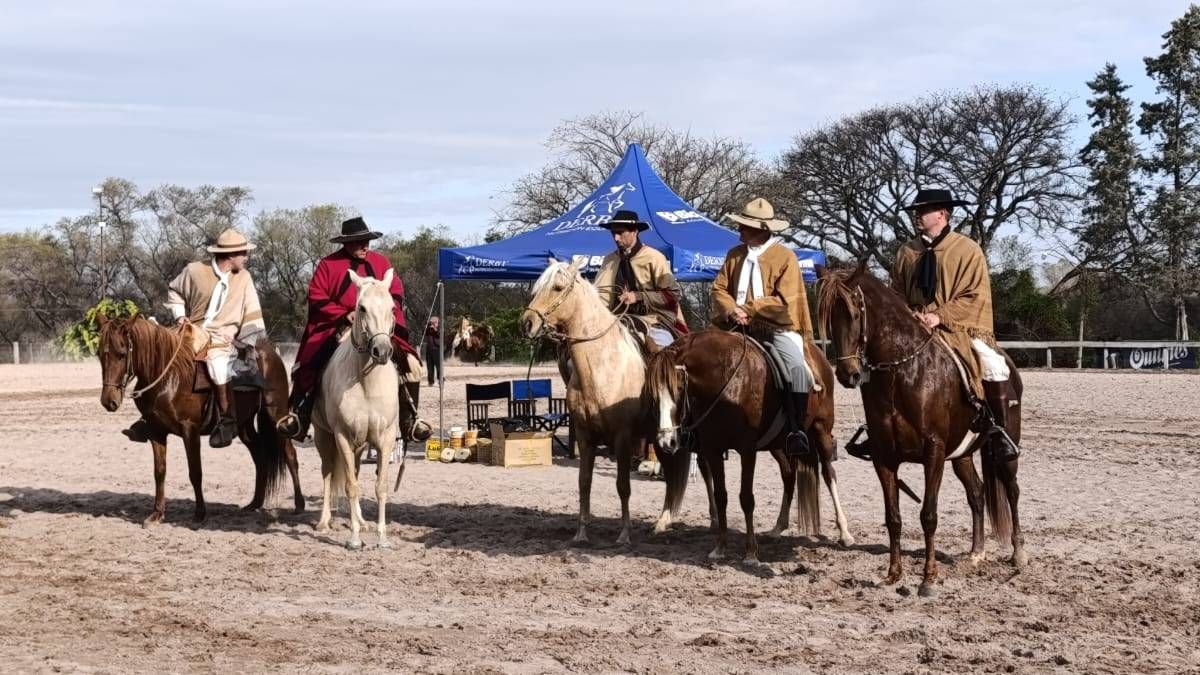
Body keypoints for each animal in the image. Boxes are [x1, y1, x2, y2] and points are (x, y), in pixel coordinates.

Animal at [96, 314, 304, 525]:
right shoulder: (156, 431)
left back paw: (299, 505)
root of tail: (270, 354)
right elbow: (159, 472)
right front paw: (157, 513)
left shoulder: (190, 430)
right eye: (99, 354)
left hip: (276, 415)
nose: (109, 401)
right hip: (244, 425)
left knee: (290, 454)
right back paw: (255, 503)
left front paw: (199, 513)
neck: (168, 378)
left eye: (122, 354)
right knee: (259, 457)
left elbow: (195, 472)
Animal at [312, 269, 403, 550]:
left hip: (360, 444)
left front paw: (382, 538)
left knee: (354, 470)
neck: (365, 381)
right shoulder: (341, 435)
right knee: (328, 473)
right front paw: (353, 538)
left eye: (392, 307)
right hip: (323, 436)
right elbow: (351, 486)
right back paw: (324, 521)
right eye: (361, 308)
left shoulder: (384, 438)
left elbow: (380, 486)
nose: (382, 351)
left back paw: (362, 521)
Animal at [520, 257, 647, 546]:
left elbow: (623, 485)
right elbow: (584, 482)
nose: (527, 323)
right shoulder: (584, 435)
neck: (601, 366)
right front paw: (581, 532)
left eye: (557, 287)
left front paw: (625, 533)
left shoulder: (623, 438)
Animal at [646, 328, 853, 563]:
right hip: (778, 445)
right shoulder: (713, 450)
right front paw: (720, 548)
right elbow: (721, 496)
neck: (725, 379)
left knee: (828, 473)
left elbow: (746, 498)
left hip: (821, 431)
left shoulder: (747, 450)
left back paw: (844, 532)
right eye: (653, 392)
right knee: (789, 475)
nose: (667, 441)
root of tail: (819, 356)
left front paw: (751, 552)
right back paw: (778, 527)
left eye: (679, 388)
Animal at [816, 263, 1026, 597]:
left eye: (854, 311)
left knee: (1012, 489)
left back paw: (1018, 553)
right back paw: (976, 552)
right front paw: (893, 574)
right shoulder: (884, 457)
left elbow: (928, 515)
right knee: (977, 493)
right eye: (827, 317)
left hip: (1004, 450)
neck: (902, 371)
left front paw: (928, 578)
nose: (849, 374)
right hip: (962, 454)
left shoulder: (933, 452)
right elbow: (893, 518)